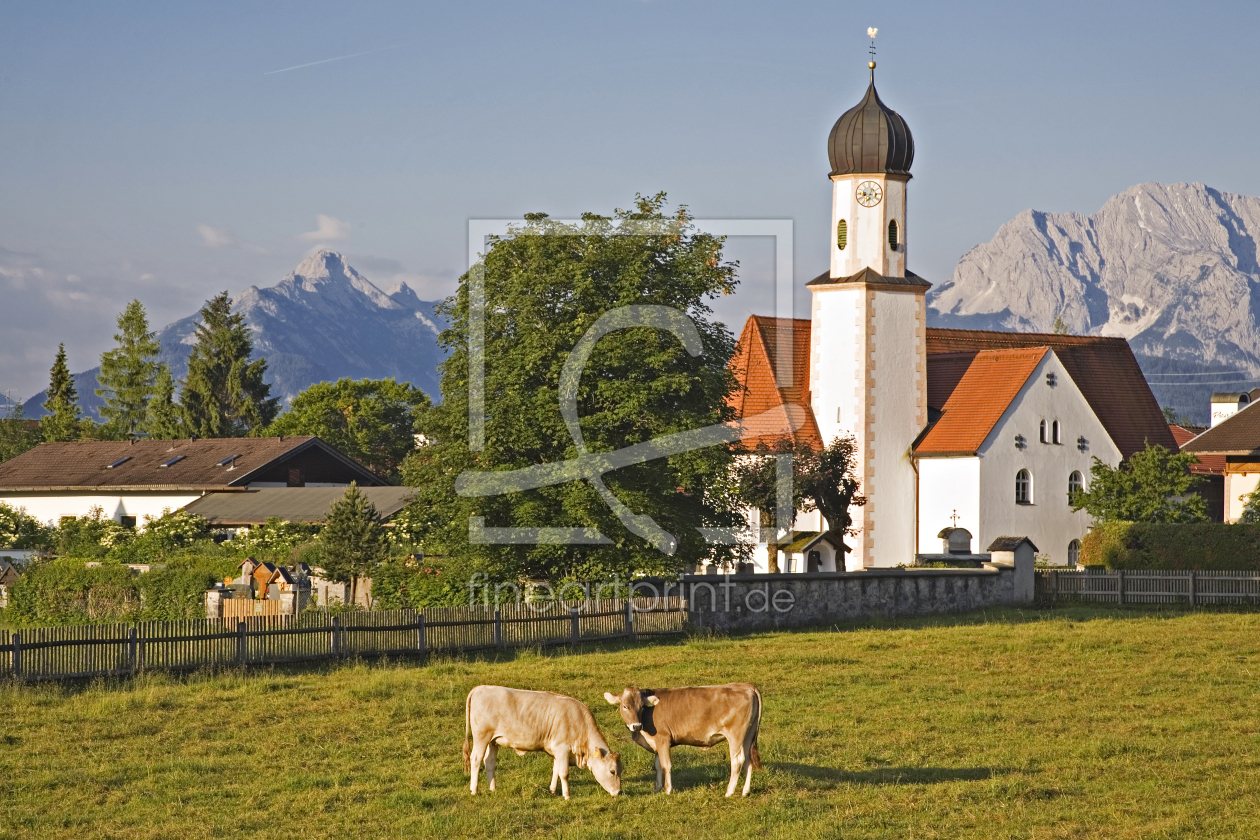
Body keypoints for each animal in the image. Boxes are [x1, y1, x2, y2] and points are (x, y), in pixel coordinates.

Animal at [463, 685, 619, 800]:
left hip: (493, 741)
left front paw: (552, 790)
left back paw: (493, 789)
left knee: (489, 762)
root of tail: (481, 688)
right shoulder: (562, 748)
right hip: (481, 737)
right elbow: (564, 773)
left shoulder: (557, 751)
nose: (619, 792)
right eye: (612, 771)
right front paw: (567, 796)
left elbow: (556, 770)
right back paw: (474, 790)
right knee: (476, 759)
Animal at [604, 685, 761, 795]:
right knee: (748, 761)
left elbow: (666, 765)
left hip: (735, 735)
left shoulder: (663, 738)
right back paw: (745, 791)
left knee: (737, 761)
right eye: (625, 706)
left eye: (641, 706)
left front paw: (667, 789)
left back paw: (729, 791)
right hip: (748, 736)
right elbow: (657, 765)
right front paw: (657, 787)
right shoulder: (657, 743)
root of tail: (746, 686)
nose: (636, 725)